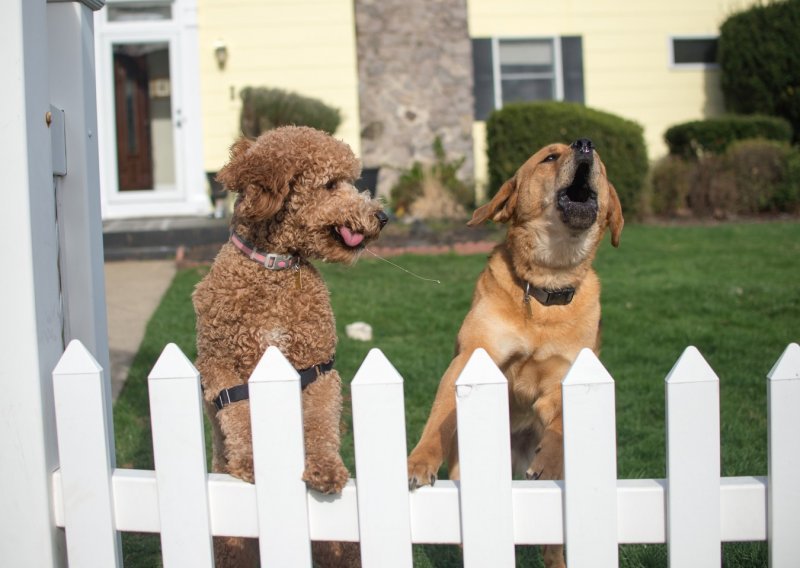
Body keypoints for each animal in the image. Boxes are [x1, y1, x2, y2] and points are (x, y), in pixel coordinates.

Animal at [197, 126, 390, 564]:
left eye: (354, 180)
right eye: (331, 184)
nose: (383, 216)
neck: (274, 269)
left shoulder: (316, 368)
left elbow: (320, 422)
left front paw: (325, 468)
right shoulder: (220, 366)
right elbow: (239, 414)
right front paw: (252, 462)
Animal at [406, 139, 624, 568]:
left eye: (603, 166)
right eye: (549, 157)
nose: (585, 144)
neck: (546, 286)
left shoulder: (561, 383)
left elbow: (559, 425)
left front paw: (548, 458)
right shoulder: (469, 359)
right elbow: (438, 419)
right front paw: (420, 460)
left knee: (552, 543)